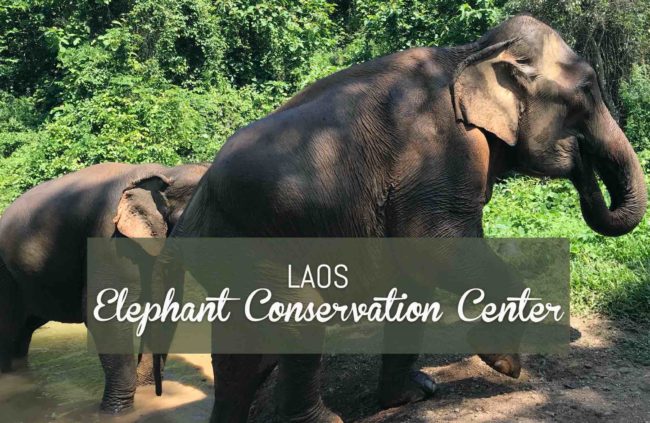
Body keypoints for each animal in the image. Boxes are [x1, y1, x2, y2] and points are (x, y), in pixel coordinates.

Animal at [0, 162, 208, 413]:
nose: (159, 393)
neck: (165, 172)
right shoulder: (107, 237)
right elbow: (103, 314)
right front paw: (115, 412)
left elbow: (167, 311)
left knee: (22, 332)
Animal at [153, 15, 646, 423]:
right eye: (586, 91)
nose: (578, 159)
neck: (471, 53)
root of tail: (193, 206)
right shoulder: (442, 151)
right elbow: (435, 248)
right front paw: (505, 365)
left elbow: (416, 277)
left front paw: (415, 395)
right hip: (252, 240)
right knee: (299, 316)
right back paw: (324, 420)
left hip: (226, 247)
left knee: (242, 349)